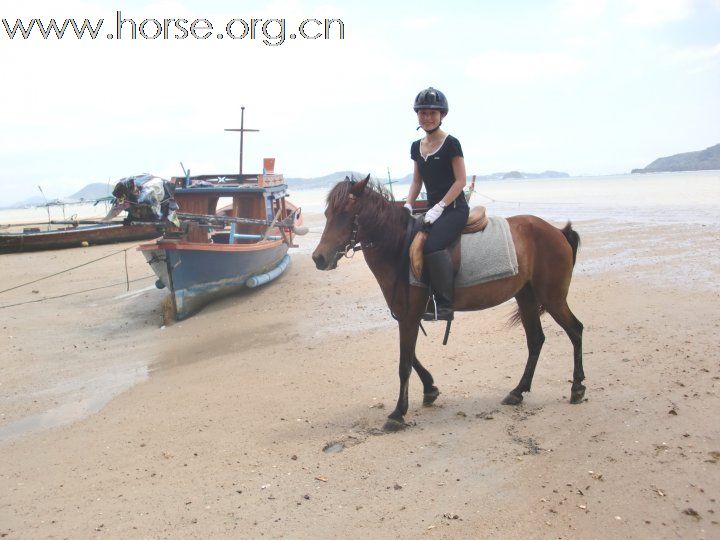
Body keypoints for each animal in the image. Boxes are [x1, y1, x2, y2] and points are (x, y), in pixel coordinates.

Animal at [310, 175, 584, 432]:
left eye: (346, 214)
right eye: (328, 214)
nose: (319, 258)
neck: (399, 247)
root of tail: (557, 231)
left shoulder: (409, 316)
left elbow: (404, 363)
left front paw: (398, 413)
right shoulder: (405, 315)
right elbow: (410, 356)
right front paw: (430, 388)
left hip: (552, 297)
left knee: (575, 330)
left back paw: (578, 387)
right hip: (526, 297)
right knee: (536, 340)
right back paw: (518, 391)